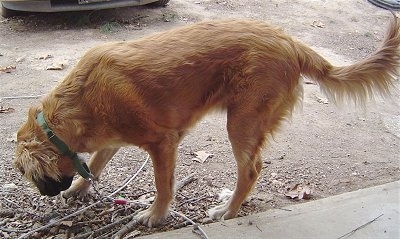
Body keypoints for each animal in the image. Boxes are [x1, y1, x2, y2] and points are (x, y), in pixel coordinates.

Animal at [14, 15, 398, 227]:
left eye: (27, 175)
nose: (46, 194)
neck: (76, 105)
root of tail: (289, 40)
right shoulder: (112, 140)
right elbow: (94, 163)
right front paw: (79, 189)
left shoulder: (163, 142)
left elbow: (163, 186)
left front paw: (155, 215)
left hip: (240, 123)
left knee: (251, 169)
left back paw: (227, 211)